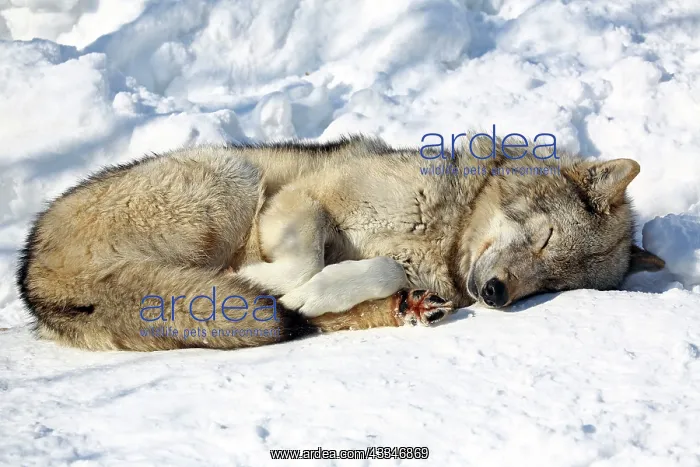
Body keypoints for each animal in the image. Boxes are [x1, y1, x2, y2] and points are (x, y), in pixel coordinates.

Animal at [16, 135, 665, 351]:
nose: (500, 295)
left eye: (550, 285)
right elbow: (303, 262)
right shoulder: (299, 199)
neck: (445, 230)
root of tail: (31, 277)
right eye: (546, 238)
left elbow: (371, 273)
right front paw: (273, 282)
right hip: (232, 173)